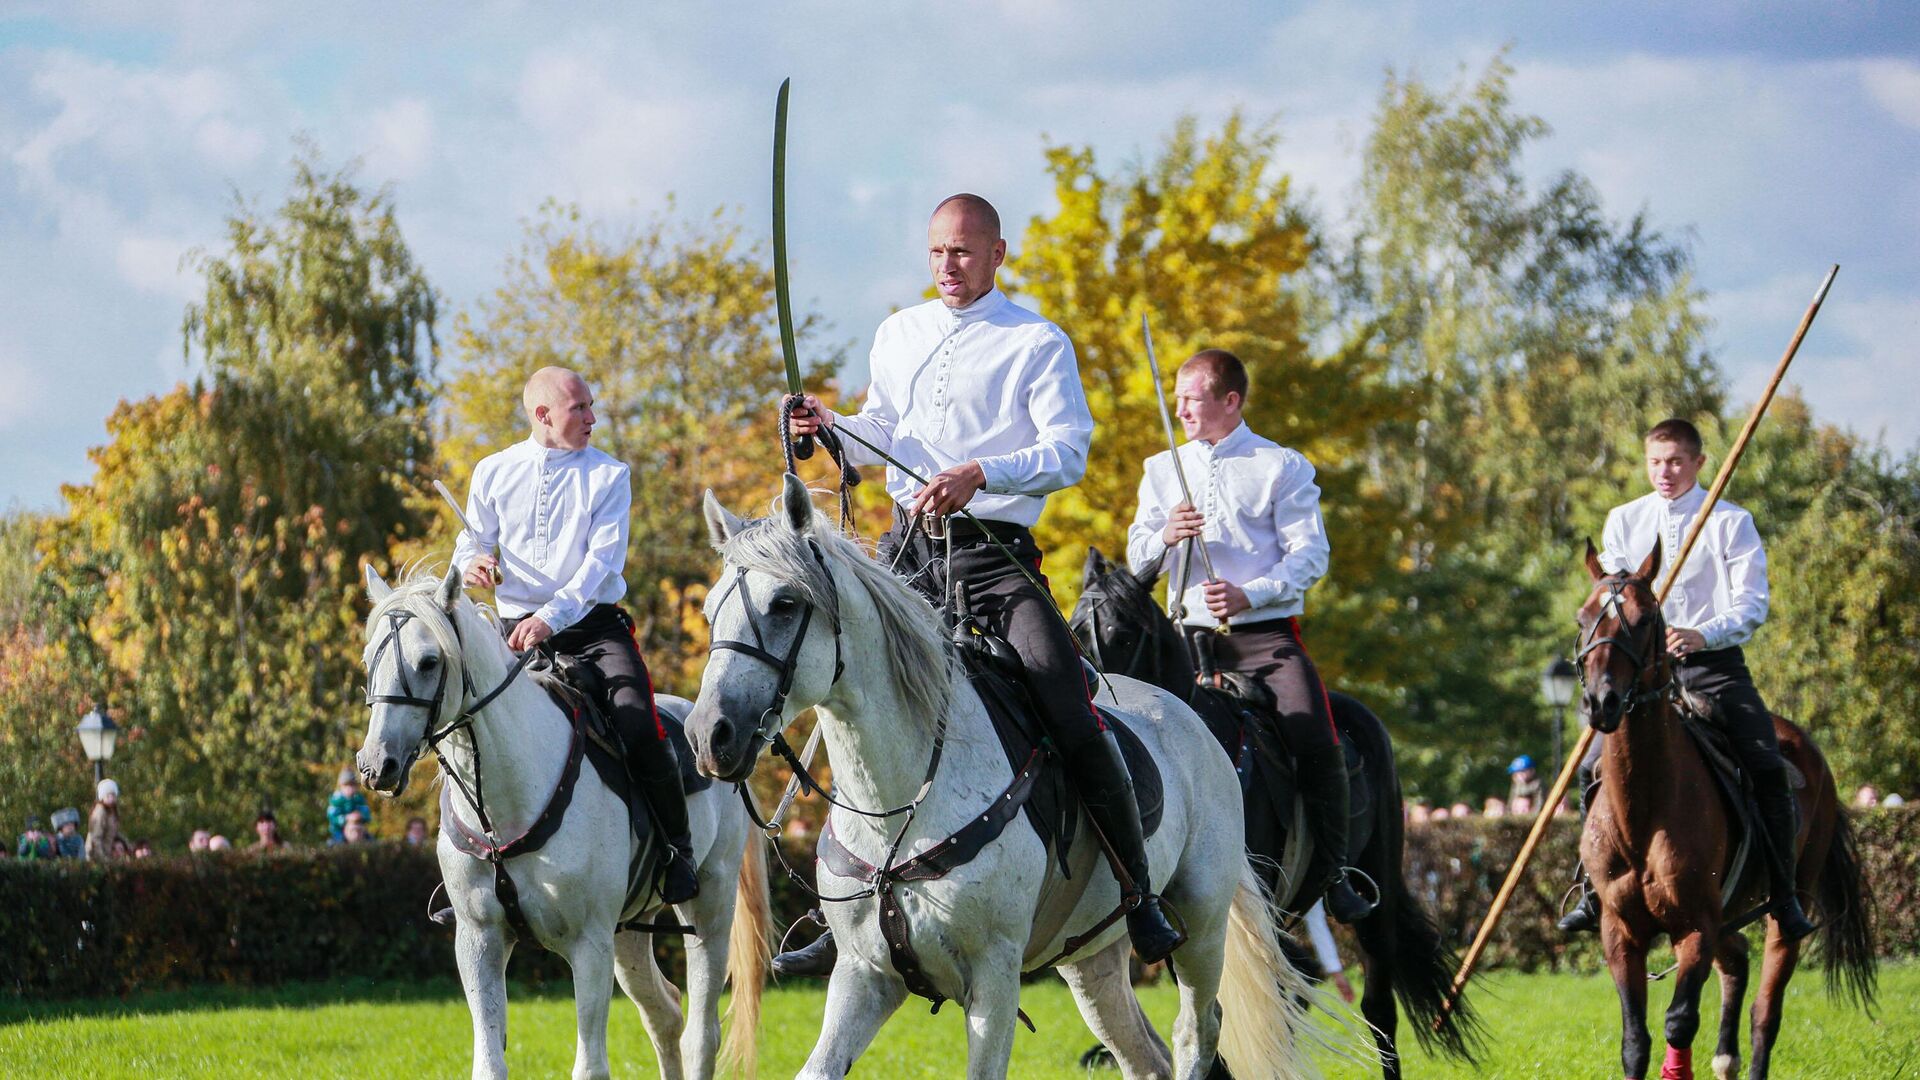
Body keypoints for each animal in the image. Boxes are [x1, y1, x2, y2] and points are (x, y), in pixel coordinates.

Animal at [357, 564, 768, 1076]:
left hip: (709, 907)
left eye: (429, 661)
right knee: (665, 1015)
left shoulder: (589, 945)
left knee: (701, 1033)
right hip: (630, 931)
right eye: (369, 660)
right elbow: (489, 1062)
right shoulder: (478, 941)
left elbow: (590, 1065)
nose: (377, 764)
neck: (506, 805)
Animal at [691, 476, 1336, 1076]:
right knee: (1144, 1054)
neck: (903, 806)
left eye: (784, 604)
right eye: (710, 608)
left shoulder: (993, 980)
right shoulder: (863, 976)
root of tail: (1197, 720)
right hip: (1092, 961)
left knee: (1196, 1034)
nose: (709, 735)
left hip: (1201, 927)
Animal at [1574, 538, 1873, 1076]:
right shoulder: (1620, 931)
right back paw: (1725, 1058)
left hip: (1785, 912)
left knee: (1766, 1011)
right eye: (1582, 617)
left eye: (1645, 619)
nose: (1601, 702)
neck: (1644, 812)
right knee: (1736, 962)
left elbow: (1679, 1022)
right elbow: (1635, 1040)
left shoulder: (1696, 926)